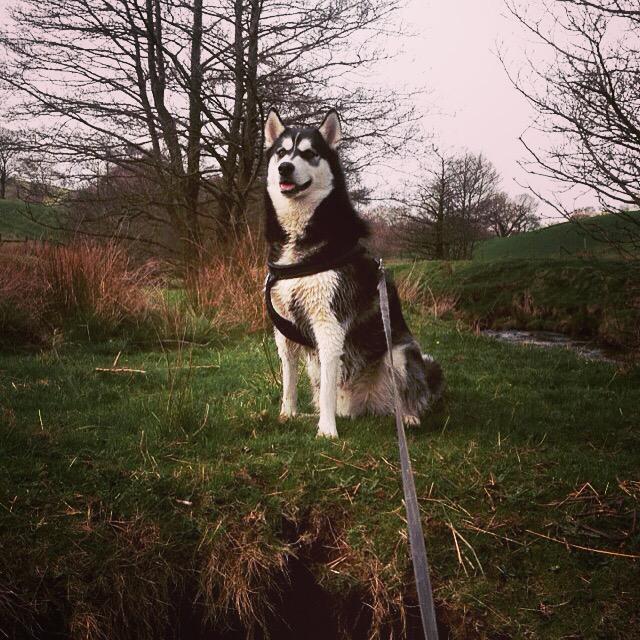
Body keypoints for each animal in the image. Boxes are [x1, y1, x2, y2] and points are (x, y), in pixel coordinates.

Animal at [263, 108, 443, 438]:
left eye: (309, 153)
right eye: (281, 152)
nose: (284, 168)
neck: (302, 238)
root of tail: (364, 406)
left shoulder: (329, 325)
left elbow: (327, 387)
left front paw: (326, 432)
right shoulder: (283, 331)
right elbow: (289, 381)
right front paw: (288, 414)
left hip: (402, 353)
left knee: (411, 394)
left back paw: (409, 417)